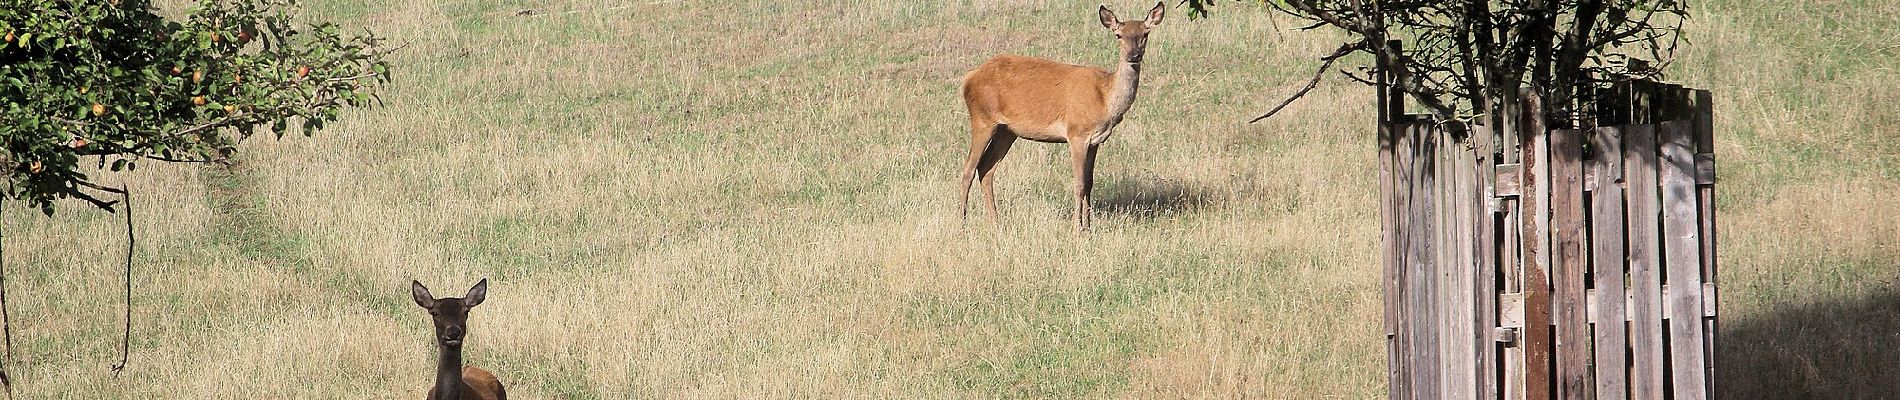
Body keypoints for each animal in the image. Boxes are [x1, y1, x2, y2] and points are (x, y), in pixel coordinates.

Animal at [965, 1, 1155, 229]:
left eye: (1145, 33)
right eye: (1118, 34)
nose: (1134, 56)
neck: (1105, 100)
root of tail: (968, 78)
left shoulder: (1096, 140)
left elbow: (1089, 183)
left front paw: (1089, 227)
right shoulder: (1076, 133)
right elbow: (1079, 183)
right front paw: (1077, 228)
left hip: (1007, 131)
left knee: (986, 167)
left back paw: (995, 221)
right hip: (982, 117)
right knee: (968, 168)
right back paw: (962, 220)